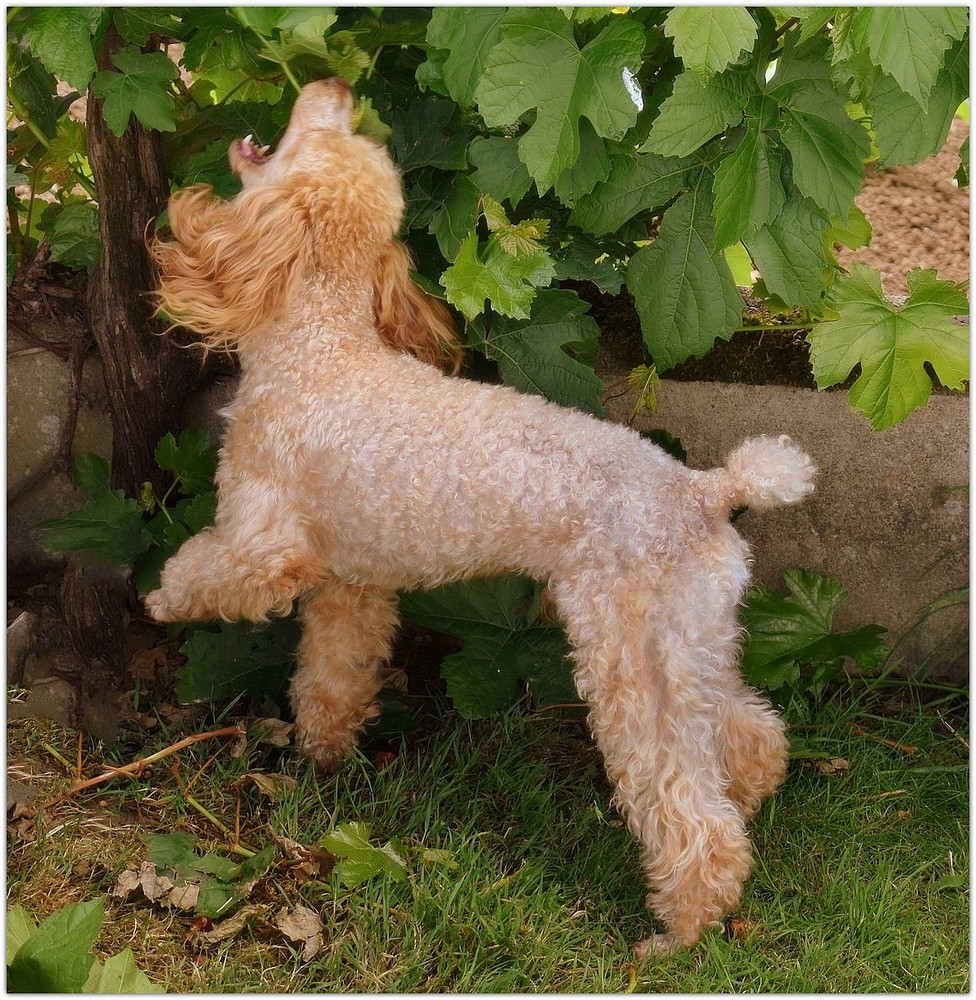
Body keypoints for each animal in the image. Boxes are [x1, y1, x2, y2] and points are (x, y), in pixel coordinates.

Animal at [147, 76, 816, 952]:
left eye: (319, 138)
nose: (335, 85)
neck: (320, 347)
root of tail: (710, 489)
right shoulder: (351, 584)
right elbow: (332, 677)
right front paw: (324, 761)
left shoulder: (267, 546)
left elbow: (211, 570)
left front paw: (161, 598)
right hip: (695, 642)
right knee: (753, 735)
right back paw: (752, 801)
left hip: (629, 661)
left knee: (690, 813)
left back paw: (678, 931)